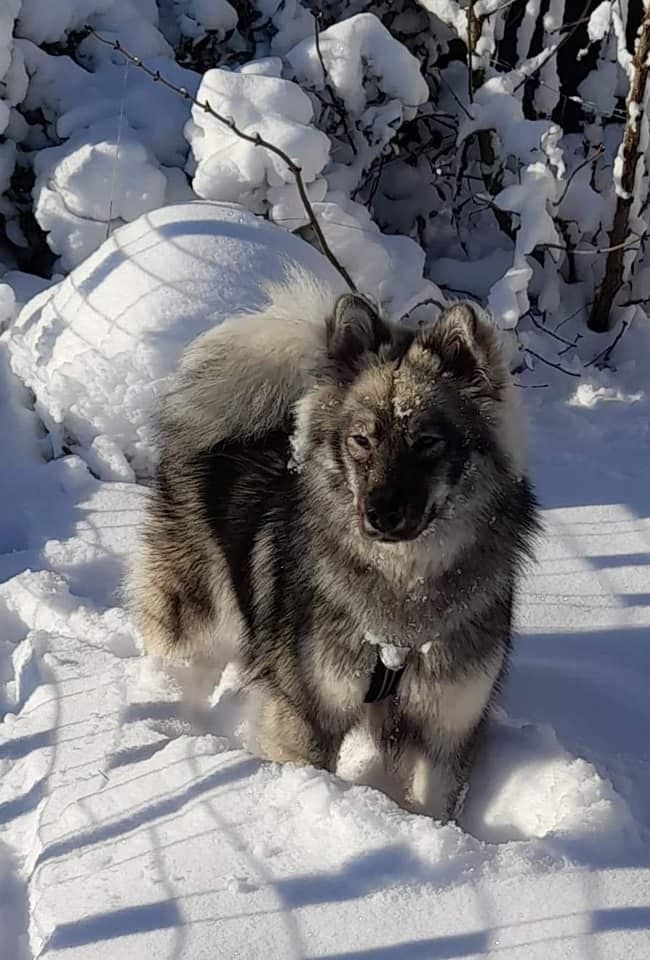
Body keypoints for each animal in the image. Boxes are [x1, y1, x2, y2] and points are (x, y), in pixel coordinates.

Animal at [132, 274, 536, 820]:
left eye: (426, 442)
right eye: (362, 440)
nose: (379, 514)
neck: (401, 596)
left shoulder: (447, 730)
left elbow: (434, 803)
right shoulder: (309, 714)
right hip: (189, 615)